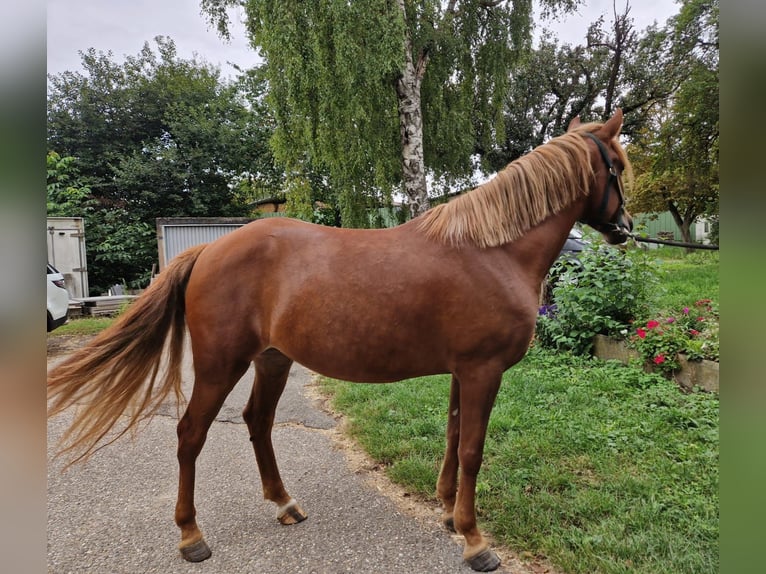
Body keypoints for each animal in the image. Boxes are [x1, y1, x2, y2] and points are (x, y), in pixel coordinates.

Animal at [48, 109, 632, 572]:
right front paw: (474, 540)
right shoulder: (482, 370)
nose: (625, 227)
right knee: (191, 433)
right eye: (619, 167)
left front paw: (447, 512)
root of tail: (208, 249)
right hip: (220, 364)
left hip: (272, 360)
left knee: (257, 422)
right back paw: (192, 536)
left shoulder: (462, 372)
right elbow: (472, 450)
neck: (492, 250)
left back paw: (284, 504)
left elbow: (452, 436)